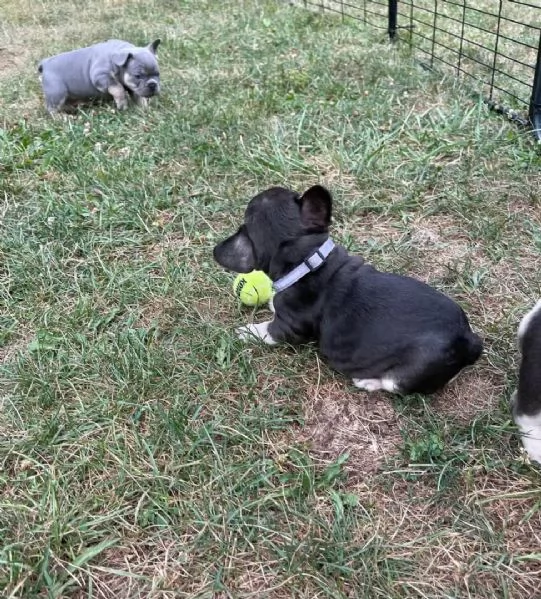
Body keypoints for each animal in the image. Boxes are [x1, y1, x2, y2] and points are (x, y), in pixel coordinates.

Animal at [213, 185, 484, 396]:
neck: (308, 260)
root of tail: (468, 339)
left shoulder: (288, 326)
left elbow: (268, 330)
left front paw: (248, 331)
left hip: (412, 371)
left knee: (395, 384)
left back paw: (368, 381)